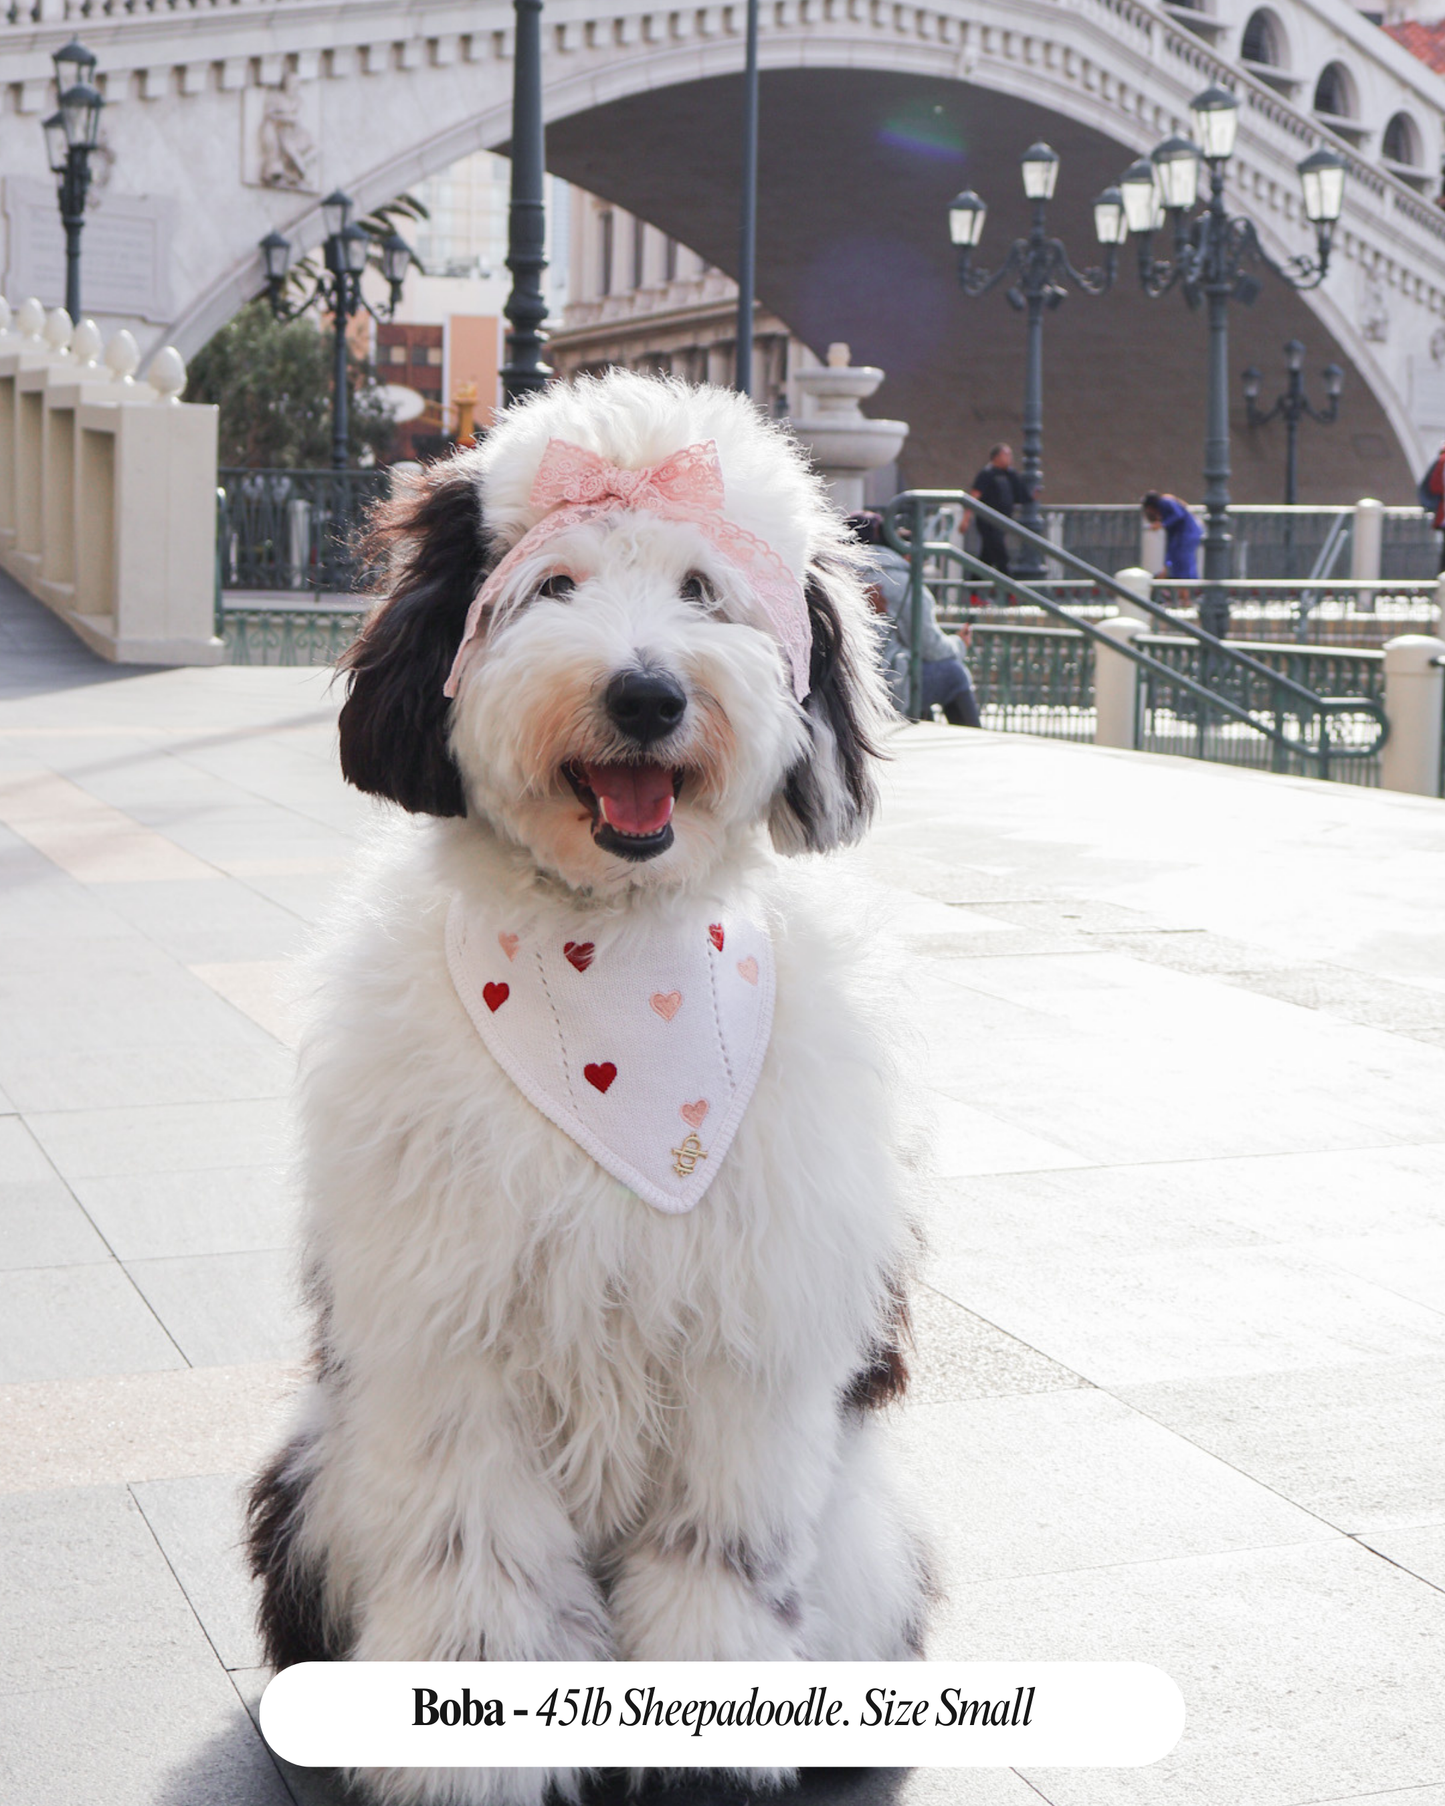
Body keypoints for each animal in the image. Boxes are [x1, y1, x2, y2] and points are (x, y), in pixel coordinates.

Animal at [249, 370, 924, 1806]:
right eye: (551, 585)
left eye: (703, 590)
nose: (646, 693)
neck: (612, 965)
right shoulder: (449, 1326)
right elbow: (473, 1547)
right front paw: (472, 1751)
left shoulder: (750, 1332)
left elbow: (722, 1543)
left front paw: (709, 1744)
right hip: (314, 1485)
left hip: (867, 1541)